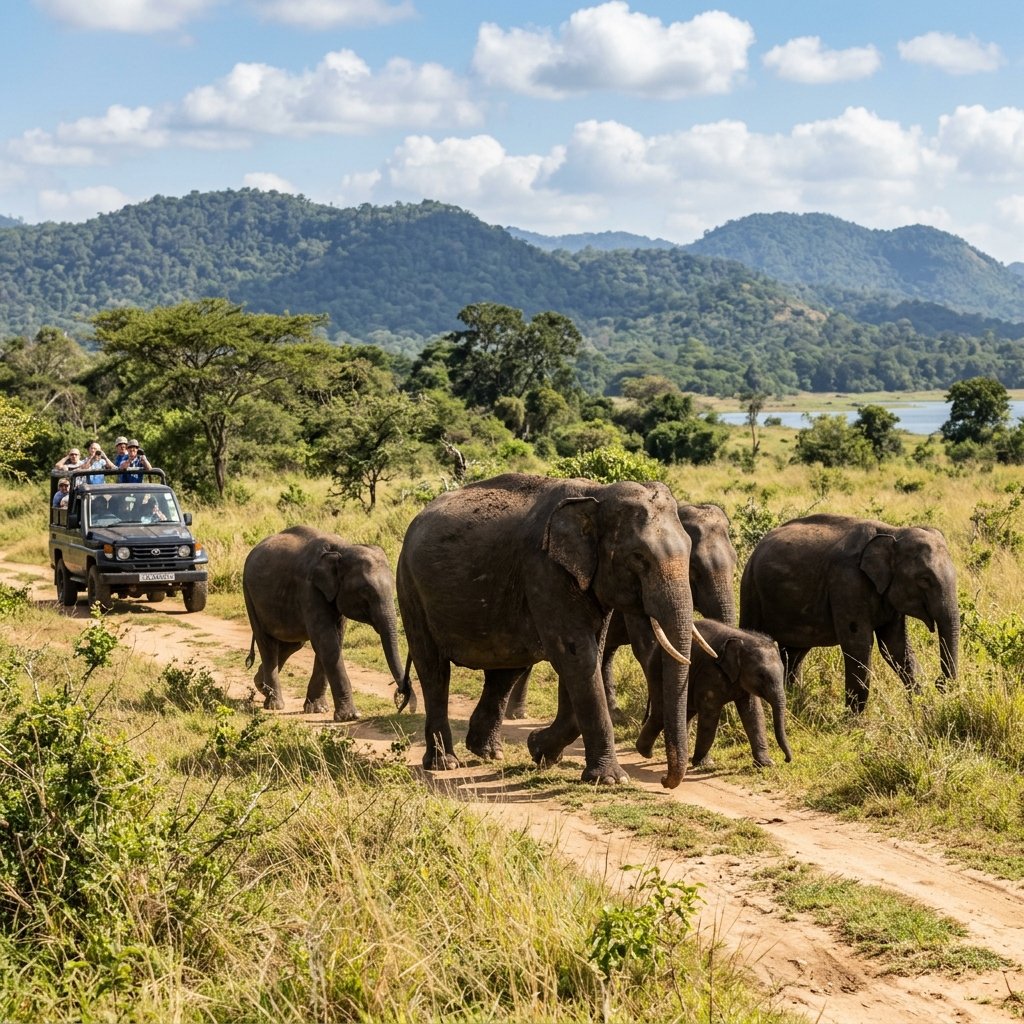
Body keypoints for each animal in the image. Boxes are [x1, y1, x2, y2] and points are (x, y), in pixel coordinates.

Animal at [243, 525, 413, 720]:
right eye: (365, 591)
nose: (401, 694)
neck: (342, 550)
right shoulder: (309, 589)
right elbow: (327, 643)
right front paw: (350, 716)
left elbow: (333, 640)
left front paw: (318, 709)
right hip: (249, 595)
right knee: (268, 645)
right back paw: (274, 704)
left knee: (292, 645)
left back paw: (260, 685)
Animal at [635, 618, 792, 769]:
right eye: (761, 675)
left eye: (783, 671)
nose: (786, 760)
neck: (744, 638)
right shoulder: (709, 672)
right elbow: (710, 714)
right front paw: (705, 764)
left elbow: (753, 713)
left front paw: (766, 764)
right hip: (657, 671)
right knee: (661, 712)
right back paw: (645, 752)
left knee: (684, 713)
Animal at [739, 514, 959, 713]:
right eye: (924, 579)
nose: (940, 683)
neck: (893, 532)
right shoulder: (847, 582)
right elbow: (859, 645)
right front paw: (852, 723)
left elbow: (896, 647)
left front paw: (924, 710)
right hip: (750, 588)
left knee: (794, 653)